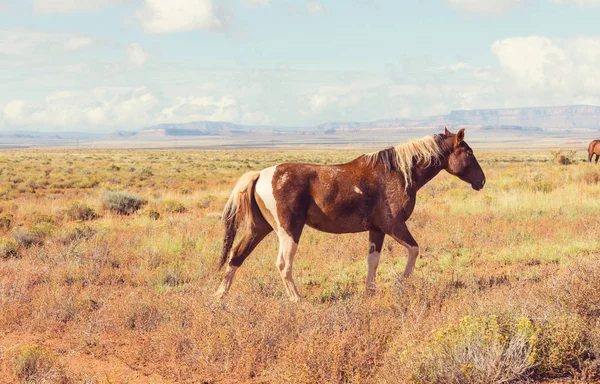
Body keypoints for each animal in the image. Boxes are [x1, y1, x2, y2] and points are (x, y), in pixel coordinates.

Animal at [213, 127, 486, 302]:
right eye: (469, 153)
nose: (481, 181)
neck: (397, 172)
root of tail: (260, 174)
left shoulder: (377, 230)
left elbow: (373, 261)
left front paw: (370, 290)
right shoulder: (394, 226)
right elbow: (414, 250)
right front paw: (401, 282)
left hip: (259, 228)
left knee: (236, 256)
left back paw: (219, 296)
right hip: (289, 231)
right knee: (283, 264)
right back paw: (297, 299)